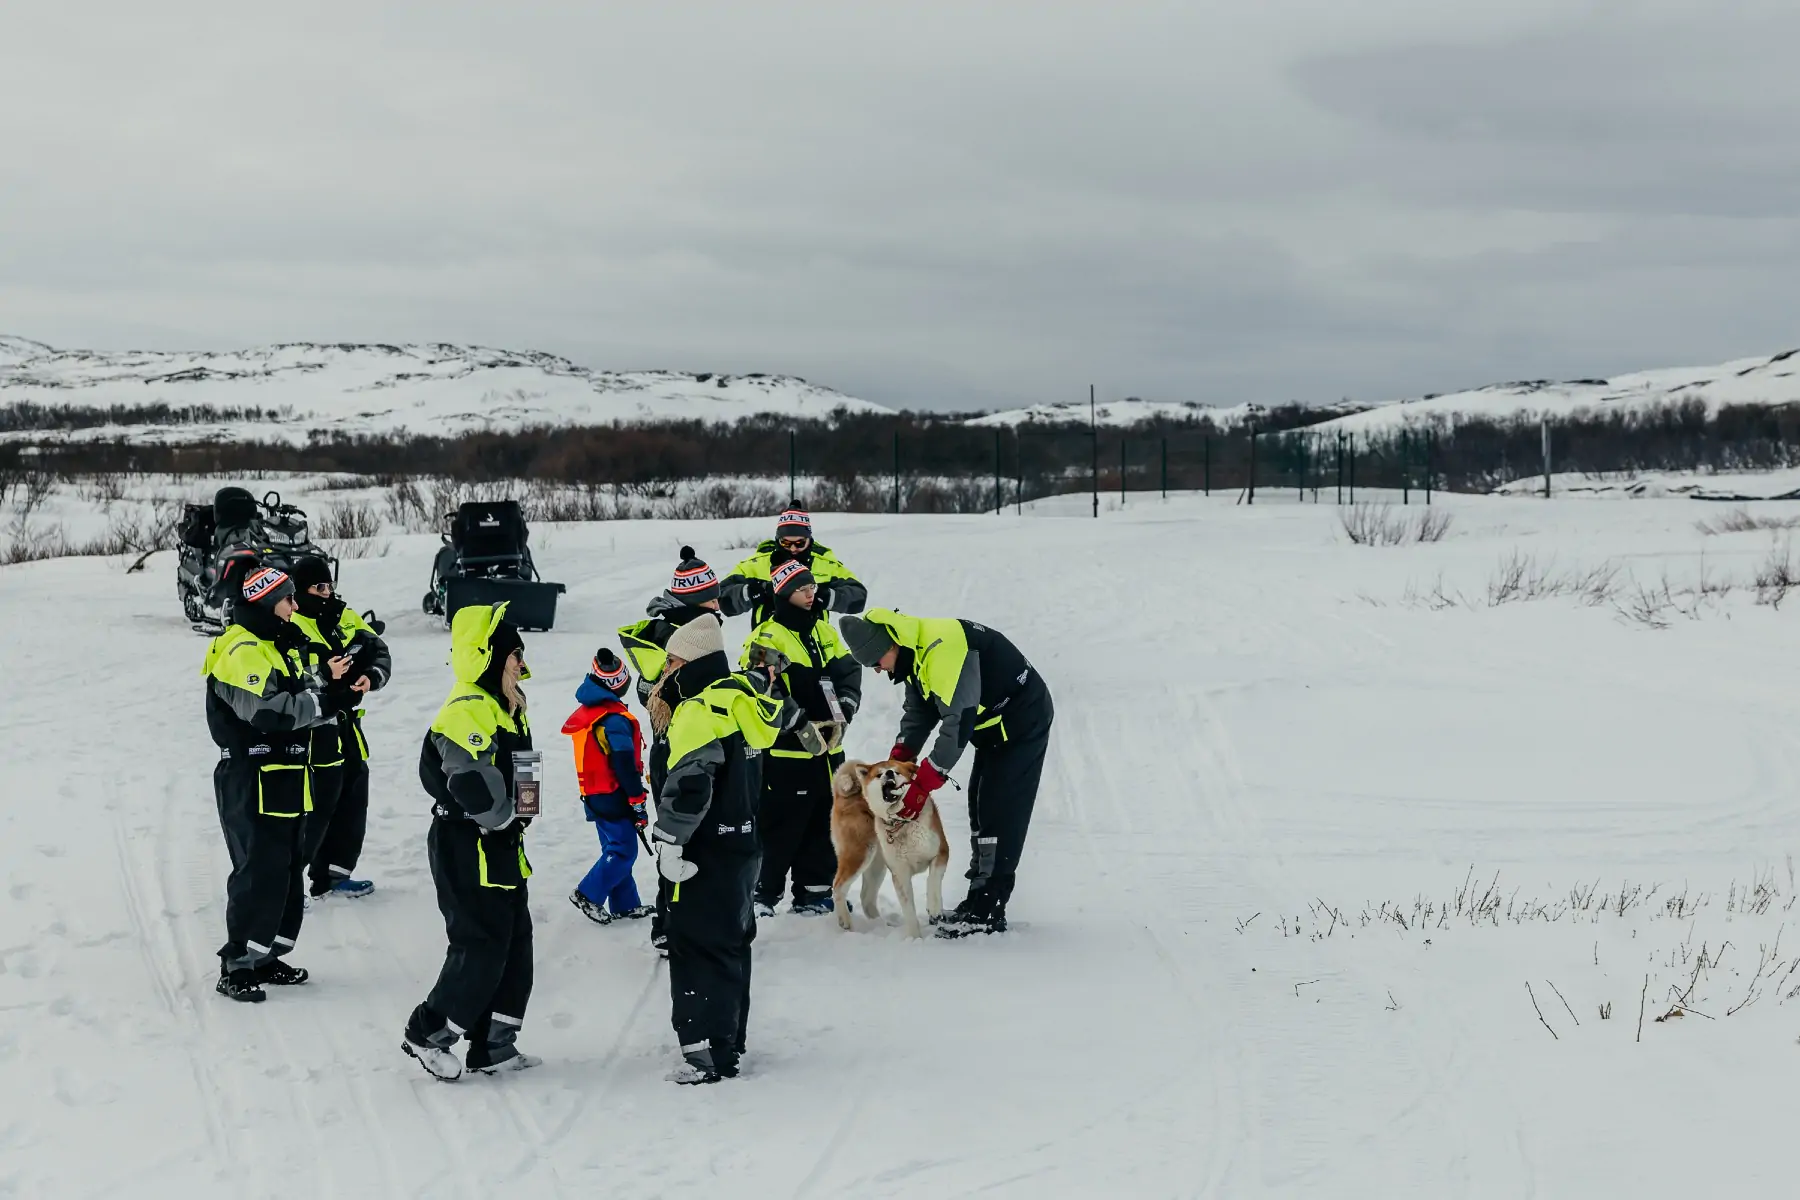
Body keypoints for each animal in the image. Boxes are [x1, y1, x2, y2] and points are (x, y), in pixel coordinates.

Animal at [831, 759, 950, 935]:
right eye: (879, 774)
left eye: (897, 771)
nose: (889, 773)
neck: (902, 823)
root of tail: (845, 795)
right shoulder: (900, 873)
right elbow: (909, 910)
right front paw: (915, 937)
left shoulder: (941, 852)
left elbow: (933, 879)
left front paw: (934, 908)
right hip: (860, 854)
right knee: (838, 887)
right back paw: (845, 921)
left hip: (876, 866)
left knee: (866, 898)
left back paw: (883, 925)